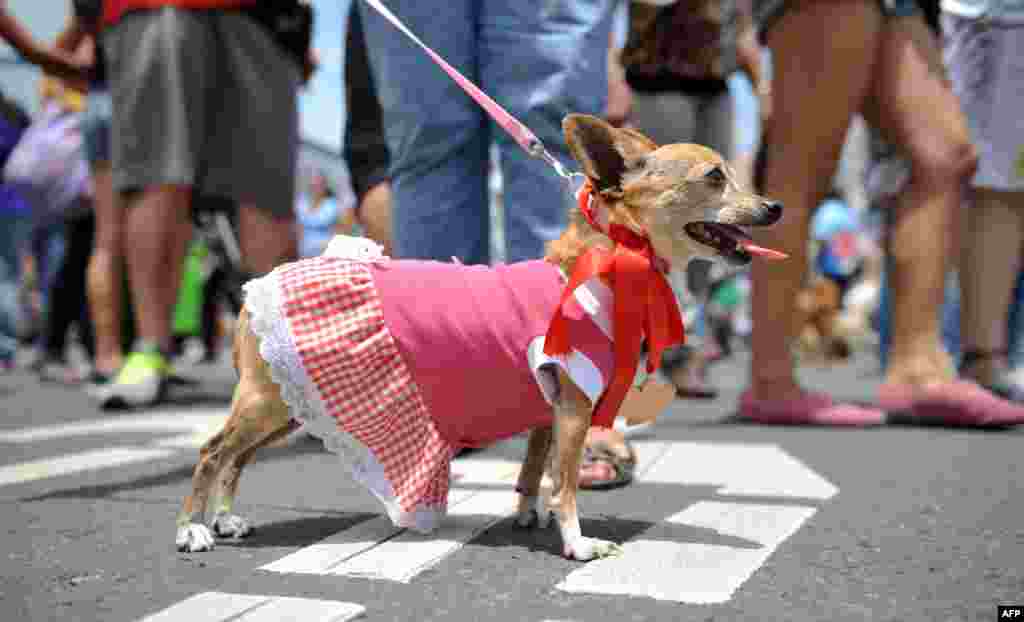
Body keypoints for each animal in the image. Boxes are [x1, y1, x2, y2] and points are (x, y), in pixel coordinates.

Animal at [176, 114, 782, 561]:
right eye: (715, 176)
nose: (774, 205)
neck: (610, 261)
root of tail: (256, 288)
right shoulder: (574, 409)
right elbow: (566, 483)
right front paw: (577, 543)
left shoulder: (547, 412)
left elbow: (534, 469)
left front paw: (527, 514)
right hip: (267, 402)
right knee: (211, 451)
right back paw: (192, 529)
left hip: (290, 405)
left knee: (237, 457)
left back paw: (226, 519)